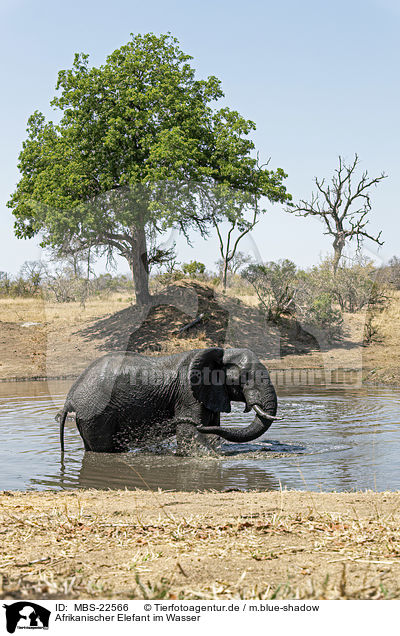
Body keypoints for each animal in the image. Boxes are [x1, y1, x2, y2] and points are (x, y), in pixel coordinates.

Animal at [59, 346, 278, 454]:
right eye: (245, 378)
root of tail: (70, 397)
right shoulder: (187, 393)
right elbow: (188, 431)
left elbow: (212, 427)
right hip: (95, 413)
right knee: (104, 448)